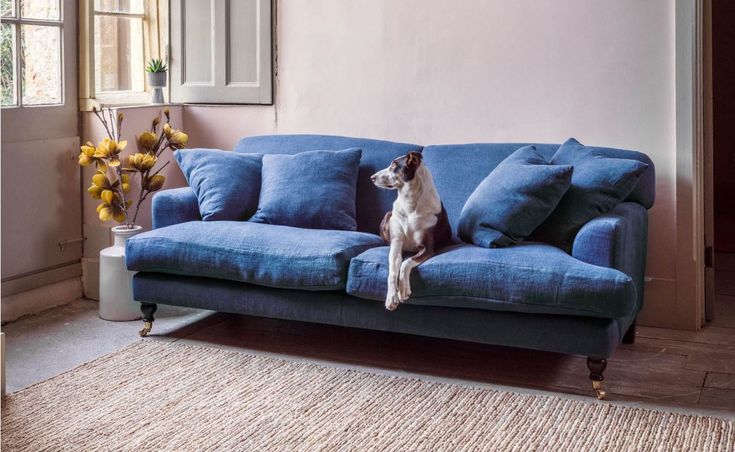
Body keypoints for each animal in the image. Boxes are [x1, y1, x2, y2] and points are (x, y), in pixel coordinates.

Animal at [370, 152, 452, 310]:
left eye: (394, 165)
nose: (372, 177)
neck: (410, 203)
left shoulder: (427, 248)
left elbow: (406, 262)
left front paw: (403, 289)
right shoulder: (396, 244)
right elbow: (393, 271)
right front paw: (392, 297)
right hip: (388, 215)